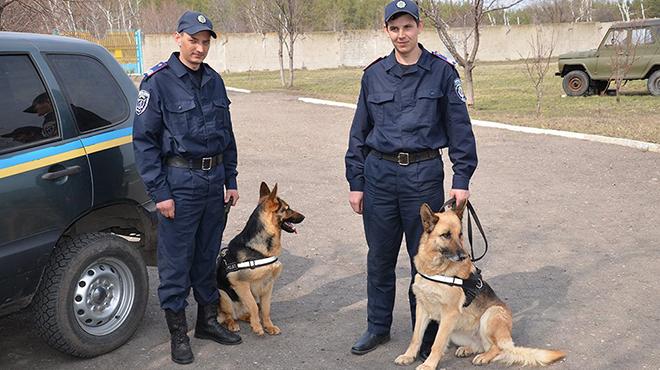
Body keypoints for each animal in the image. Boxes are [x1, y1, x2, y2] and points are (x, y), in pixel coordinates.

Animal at [217, 182, 304, 336]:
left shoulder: (268, 285)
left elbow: (265, 309)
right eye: (287, 209)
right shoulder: (241, 284)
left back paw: (249, 319)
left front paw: (268, 326)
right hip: (223, 294)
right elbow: (253, 306)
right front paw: (258, 326)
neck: (258, 249)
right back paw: (233, 324)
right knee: (228, 316)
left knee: (243, 314)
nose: (304, 217)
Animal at [394, 202, 564, 370]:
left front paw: (429, 365)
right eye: (446, 235)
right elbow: (416, 337)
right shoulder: (422, 308)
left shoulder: (449, 314)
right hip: (457, 331)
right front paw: (408, 356)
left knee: (496, 348)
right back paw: (468, 349)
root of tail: (507, 339)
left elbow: (437, 343)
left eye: (460, 234)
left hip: (491, 314)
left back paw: (484, 357)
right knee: (481, 346)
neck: (436, 269)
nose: (464, 256)